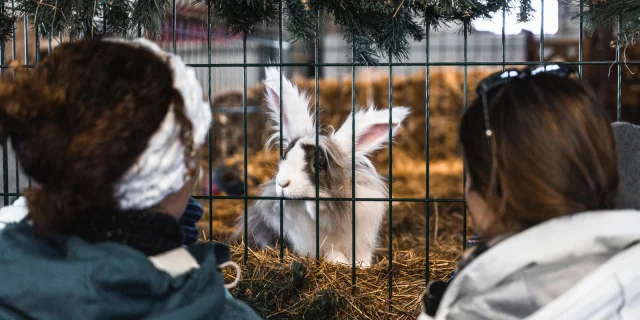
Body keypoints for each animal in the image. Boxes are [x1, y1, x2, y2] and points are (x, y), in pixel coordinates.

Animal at [231, 67, 410, 268]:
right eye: (285, 155)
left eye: (317, 163)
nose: (283, 183)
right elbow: (333, 254)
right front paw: (342, 264)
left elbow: (361, 257)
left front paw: (361, 266)